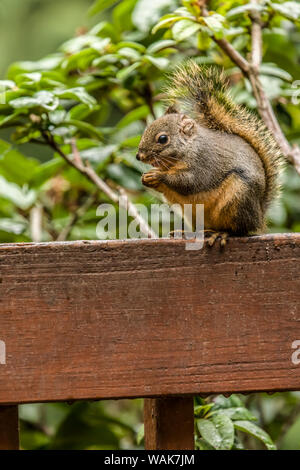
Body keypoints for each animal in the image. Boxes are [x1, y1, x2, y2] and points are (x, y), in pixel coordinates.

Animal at [137, 61, 284, 246]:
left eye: (163, 139)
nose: (139, 156)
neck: (188, 148)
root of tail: (259, 216)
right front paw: (146, 178)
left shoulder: (204, 161)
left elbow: (190, 182)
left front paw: (158, 176)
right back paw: (188, 233)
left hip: (238, 198)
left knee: (240, 230)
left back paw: (222, 233)